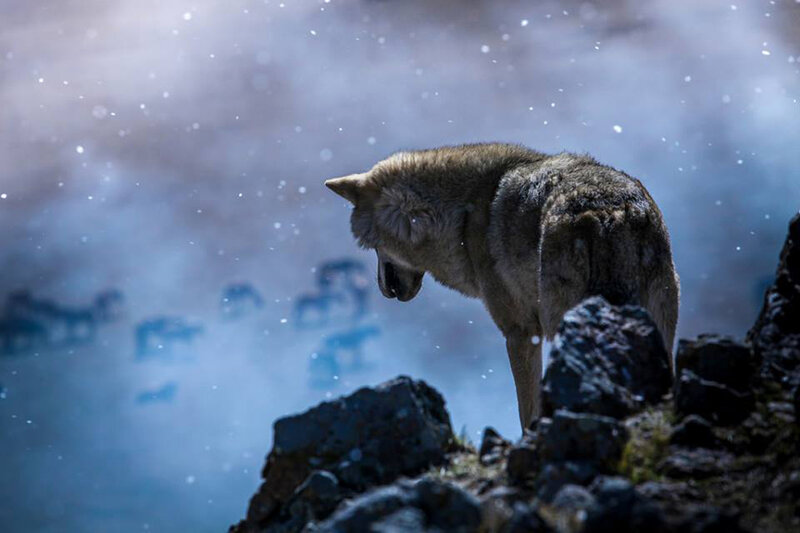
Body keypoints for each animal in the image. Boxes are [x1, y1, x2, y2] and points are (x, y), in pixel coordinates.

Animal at [325, 143, 679, 429]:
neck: (459, 217)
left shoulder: (520, 331)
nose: (384, 289)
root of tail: (608, 212)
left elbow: (527, 409)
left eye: (373, 246)